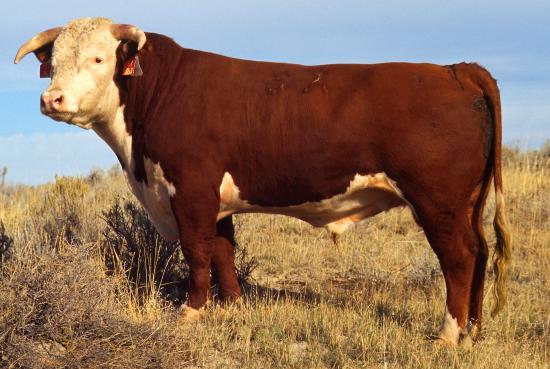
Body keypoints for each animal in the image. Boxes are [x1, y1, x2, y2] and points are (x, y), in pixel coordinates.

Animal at [14, 17, 512, 344]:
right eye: (53, 62)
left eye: (98, 58)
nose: (51, 99)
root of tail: (455, 69)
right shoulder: (214, 199)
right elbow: (223, 251)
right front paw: (232, 305)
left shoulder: (191, 188)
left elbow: (197, 252)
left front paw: (190, 312)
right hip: (469, 203)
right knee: (482, 251)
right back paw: (474, 330)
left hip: (438, 201)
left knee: (460, 257)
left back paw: (448, 334)